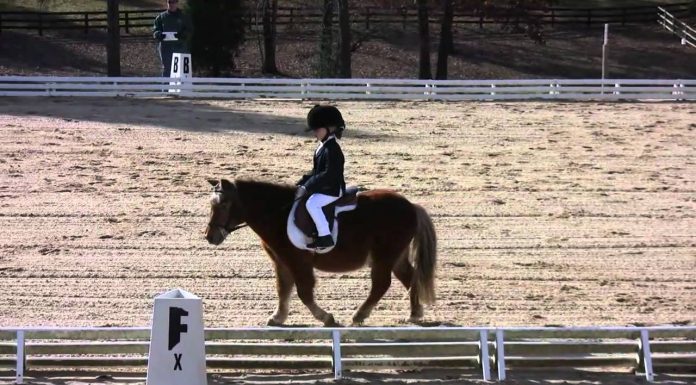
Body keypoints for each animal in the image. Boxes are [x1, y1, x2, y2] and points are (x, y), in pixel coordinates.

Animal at [204, 178, 438, 326]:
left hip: (384, 257)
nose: (209, 237)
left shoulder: (299, 261)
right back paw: (414, 314)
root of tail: (411, 206)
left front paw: (326, 318)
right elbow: (283, 289)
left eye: (223, 204)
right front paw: (278, 317)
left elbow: (304, 293)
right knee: (410, 277)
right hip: (396, 256)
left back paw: (359, 315)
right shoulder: (281, 261)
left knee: (382, 284)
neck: (277, 214)